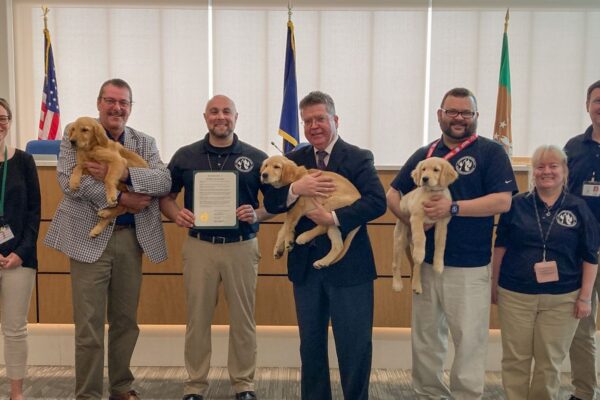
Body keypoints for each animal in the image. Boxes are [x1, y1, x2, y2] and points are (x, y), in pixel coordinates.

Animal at [394, 157, 460, 294]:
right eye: (423, 169)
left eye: (436, 170)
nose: (424, 178)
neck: (432, 193)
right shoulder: (416, 217)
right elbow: (421, 237)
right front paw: (420, 253)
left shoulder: (442, 224)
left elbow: (440, 244)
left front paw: (438, 265)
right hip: (399, 240)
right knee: (395, 264)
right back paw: (397, 284)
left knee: (416, 266)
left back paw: (416, 285)